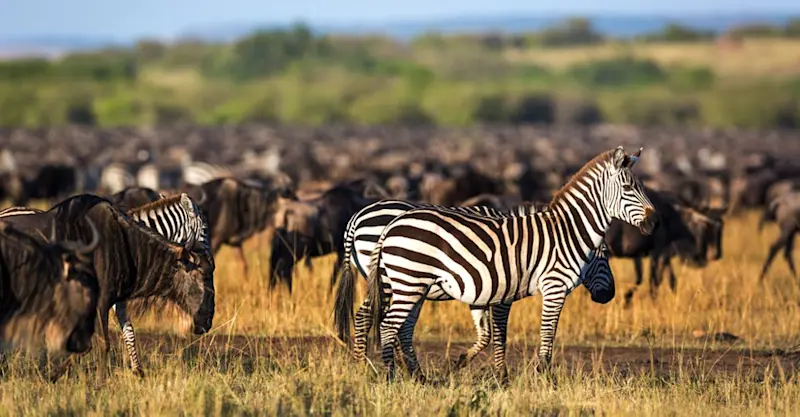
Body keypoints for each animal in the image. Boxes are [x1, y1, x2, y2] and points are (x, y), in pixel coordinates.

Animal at [333, 199, 615, 378]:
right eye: (602, 254)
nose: (609, 295)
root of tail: (358, 217)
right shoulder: (502, 292)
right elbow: (499, 334)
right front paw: (501, 375)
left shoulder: (482, 288)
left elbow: (486, 335)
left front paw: (458, 364)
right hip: (391, 280)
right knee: (368, 317)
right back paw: (366, 365)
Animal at [362, 146, 656, 382]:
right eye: (629, 189)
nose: (654, 223)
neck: (566, 232)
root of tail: (392, 224)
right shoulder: (553, 287)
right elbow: (546, 333)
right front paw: (544, 377)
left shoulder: (501, 292)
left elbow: (499, 334)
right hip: (408, 281)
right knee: (387, 326)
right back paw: (389, 376)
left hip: (409, 284)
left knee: (397, 326)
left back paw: (415, 377)